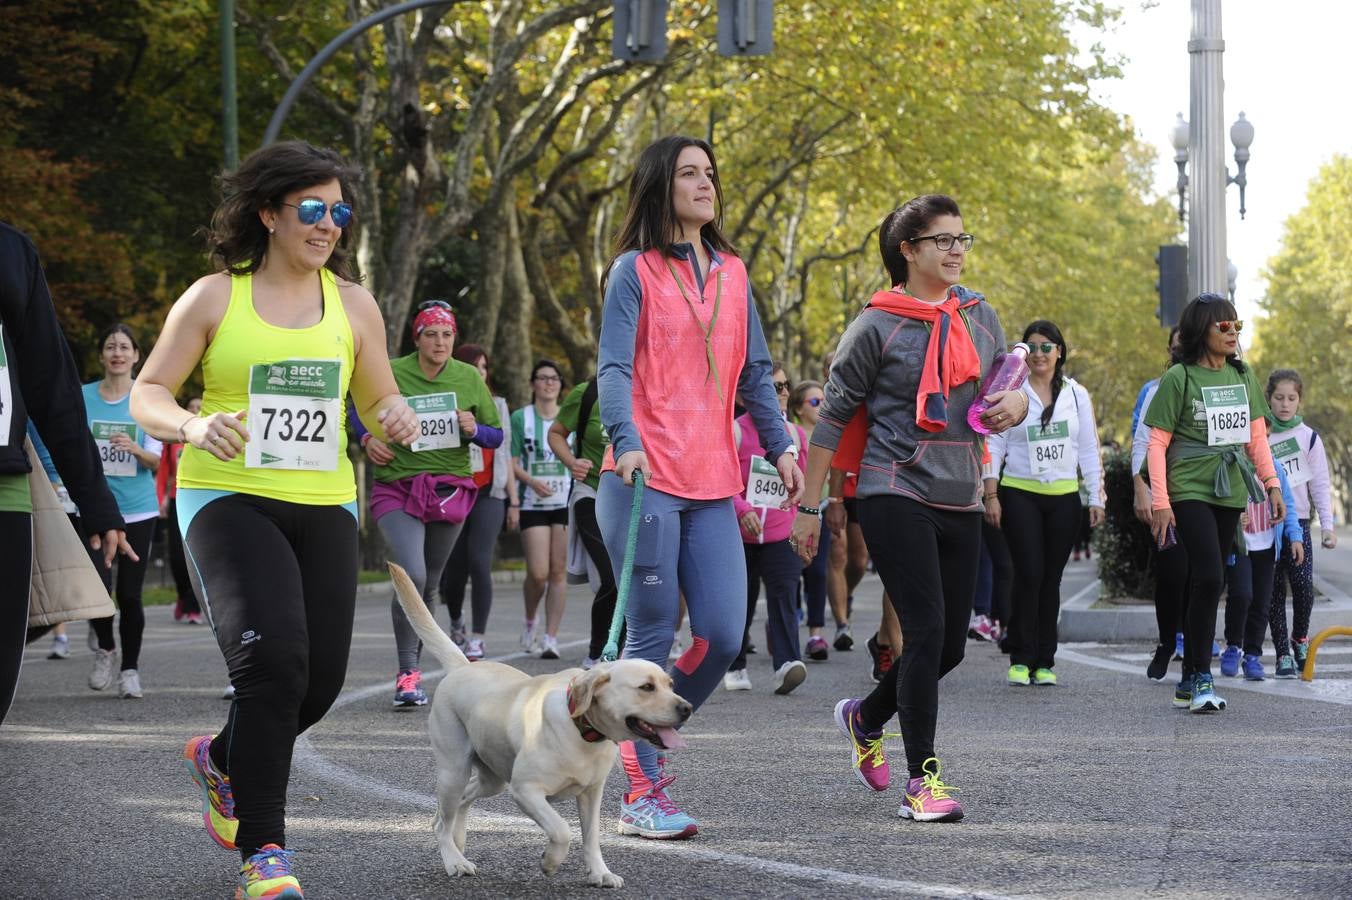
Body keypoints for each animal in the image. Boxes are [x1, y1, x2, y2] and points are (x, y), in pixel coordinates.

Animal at [389, 562, 686, 881]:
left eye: (670, 684)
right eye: (646, 687)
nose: (687, 708)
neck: (581, 730)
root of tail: (462, 667)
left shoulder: (592, 794)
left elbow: (591, 837)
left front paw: (600, 873)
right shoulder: (526, 790)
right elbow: (562, 829)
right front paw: (550, 861)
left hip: (493, 778)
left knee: (463, 800)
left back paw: (459, 842)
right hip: (454, 770)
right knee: (440, 821)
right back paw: (455, 861)